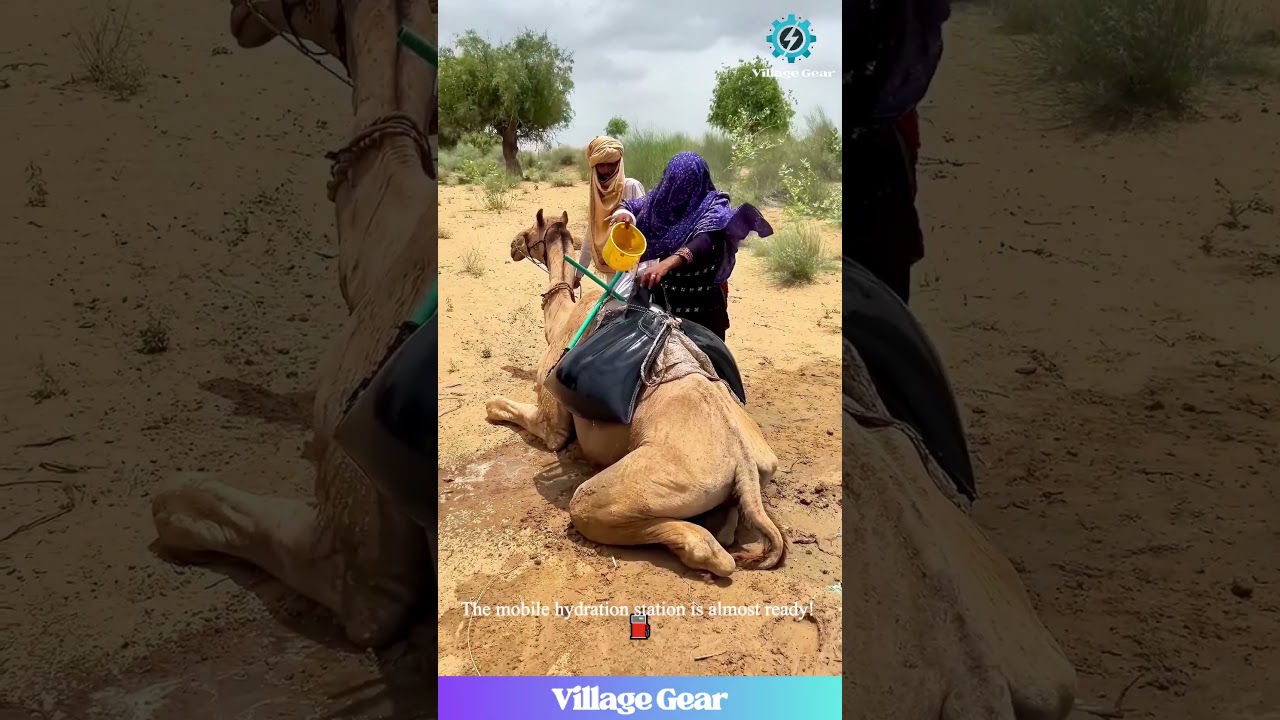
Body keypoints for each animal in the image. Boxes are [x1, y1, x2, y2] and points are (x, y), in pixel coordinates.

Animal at [490, 209, 786, 577]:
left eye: (531, 229)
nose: (513, 244)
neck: (561, 320)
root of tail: (743, 462)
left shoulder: (552, 420)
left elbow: (499, 405)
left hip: (653, 483)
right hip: (761, 464)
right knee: (730, 528)